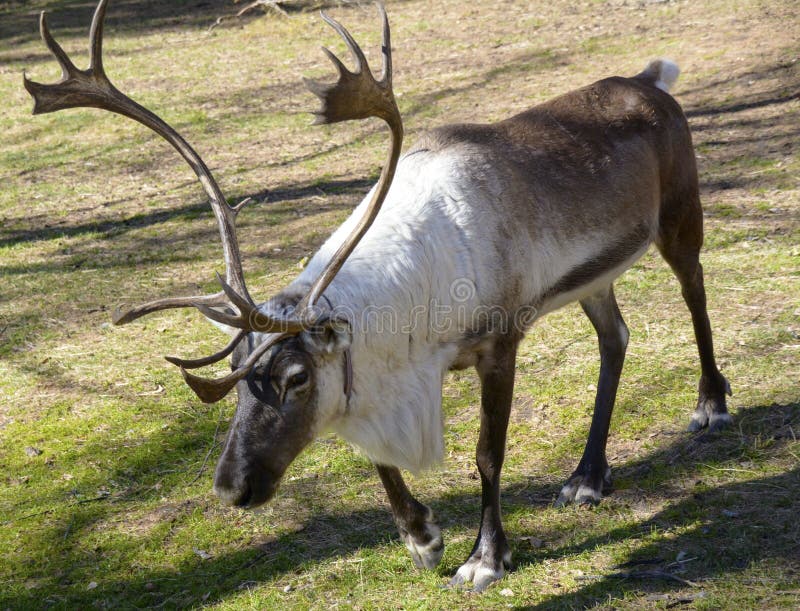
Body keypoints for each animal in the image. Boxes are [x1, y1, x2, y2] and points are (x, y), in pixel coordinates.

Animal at [25, 0, 732, 592]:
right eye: (237, 371)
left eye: (296, 378)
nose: (231, 488)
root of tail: (650, 80)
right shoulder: (383, 371)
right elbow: (376, 454)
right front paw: (422, 537)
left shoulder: (498, 343)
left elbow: (487, 454)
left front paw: (485, 558)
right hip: (595, 276)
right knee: (616, 337)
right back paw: (587, 477)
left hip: (679, 216)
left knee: (695, 292)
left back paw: (710, 405)